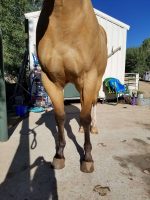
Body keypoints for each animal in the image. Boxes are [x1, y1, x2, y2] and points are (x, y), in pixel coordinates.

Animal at [36, 0, 106, 172]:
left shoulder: (89, 77)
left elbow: (86, 117)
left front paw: (87, 158)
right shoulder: (50, 80)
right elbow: (60, 116)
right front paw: (59, 155)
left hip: (96, 81)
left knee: (93, 104)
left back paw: (94, 128)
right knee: (82, 103)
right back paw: (80, 129)